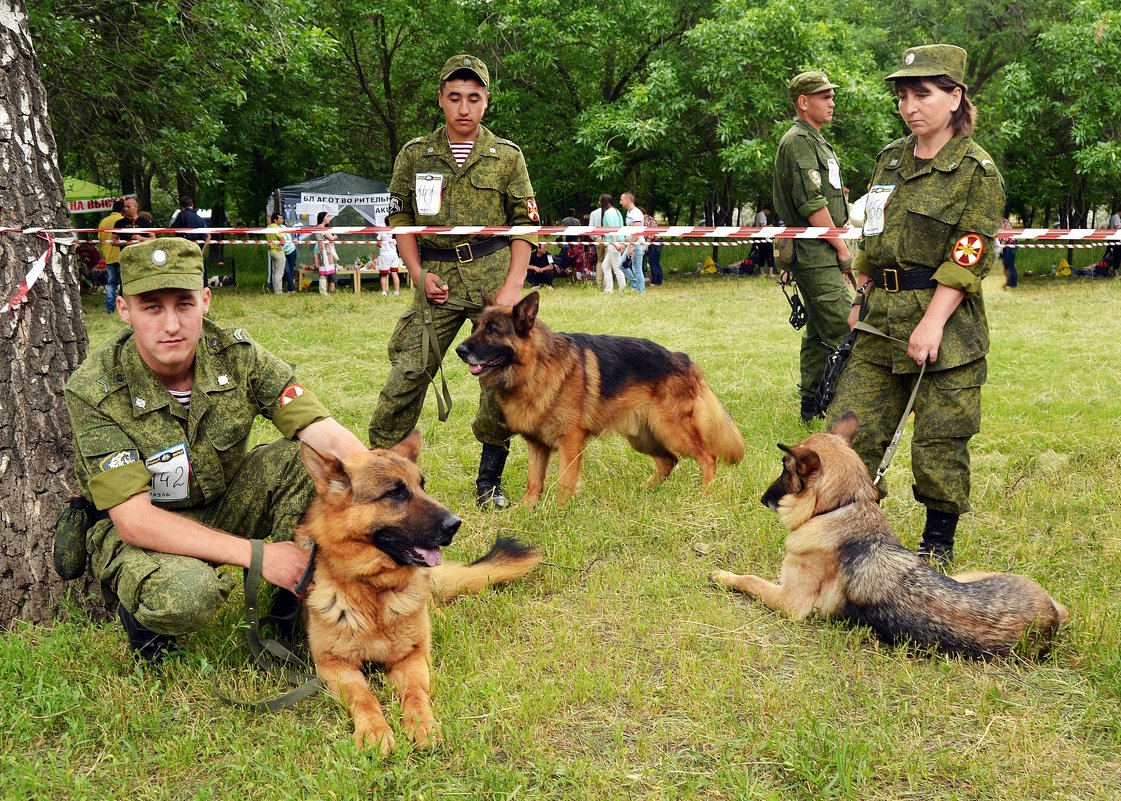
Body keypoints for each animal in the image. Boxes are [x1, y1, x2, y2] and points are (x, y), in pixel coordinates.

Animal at [298, 432, 542, 752]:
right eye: (395, 493)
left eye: (421, 486)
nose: (455, 524)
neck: (374, 592)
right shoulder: (334, 665)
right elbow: (362, 696)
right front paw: (374, 729)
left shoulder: (413, 658)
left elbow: (415, 691)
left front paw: (421, 724)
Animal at [455, 291, 744, 504]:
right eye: (475, 327)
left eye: (492, 330)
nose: (459, 350)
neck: (535, 368)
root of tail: (682, 359)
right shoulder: (536, 444)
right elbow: (534, 481)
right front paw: (527, 510)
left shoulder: (570, 443)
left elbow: (564, 481)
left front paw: (559, 512)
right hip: (643, 437)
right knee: (668, 461)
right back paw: (645, 491)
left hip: (672, 430)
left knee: (707, 457)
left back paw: (705, 494)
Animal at [708, 414, 1067, 658]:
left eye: (786, 468)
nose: (762, 499)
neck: (844, 506)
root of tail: (1052, 615)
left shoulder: (791, 603)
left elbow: (751, 580)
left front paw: (724, 576)